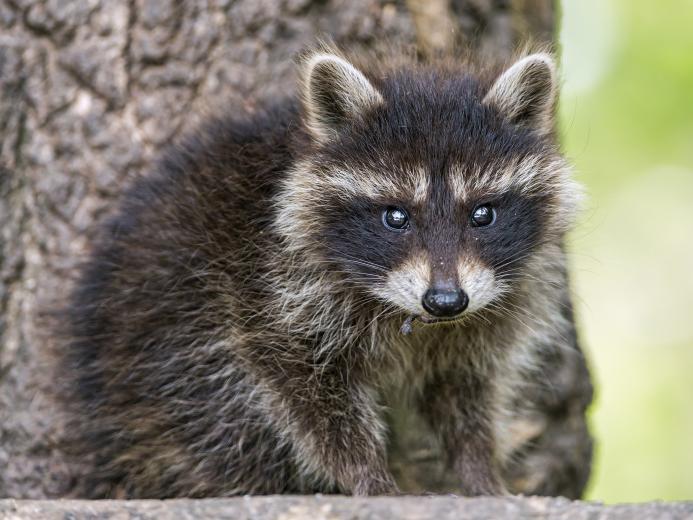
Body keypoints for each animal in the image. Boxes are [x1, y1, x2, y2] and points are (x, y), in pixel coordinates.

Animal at [65, 46, 584, 498]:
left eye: (483, 214)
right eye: (395, 216)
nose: (445, 301)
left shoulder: (485, 312)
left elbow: (464, 389)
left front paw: (480, 470)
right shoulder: (268, 286)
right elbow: (311, 397)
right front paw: (368, 473)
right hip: (171, 337)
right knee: (221, 415)